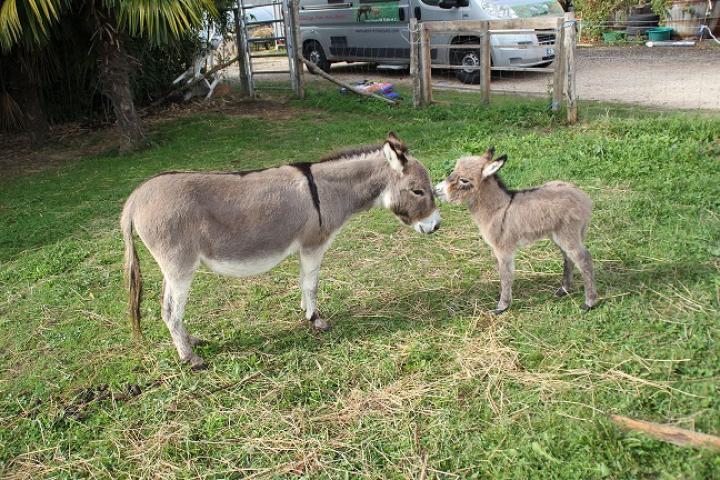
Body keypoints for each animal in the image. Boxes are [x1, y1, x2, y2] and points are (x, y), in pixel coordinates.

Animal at [436, 150, 600, 316]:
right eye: (452, 171)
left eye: (464, 180)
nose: (436, 190)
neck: (498, 208)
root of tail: (581, 195)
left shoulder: (503, 249)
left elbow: (505, 275)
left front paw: (502, 306)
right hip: (559, 235)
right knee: (568, 258)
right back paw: (563, 290)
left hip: (567, 233)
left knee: (584, 259)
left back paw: (589, 302)